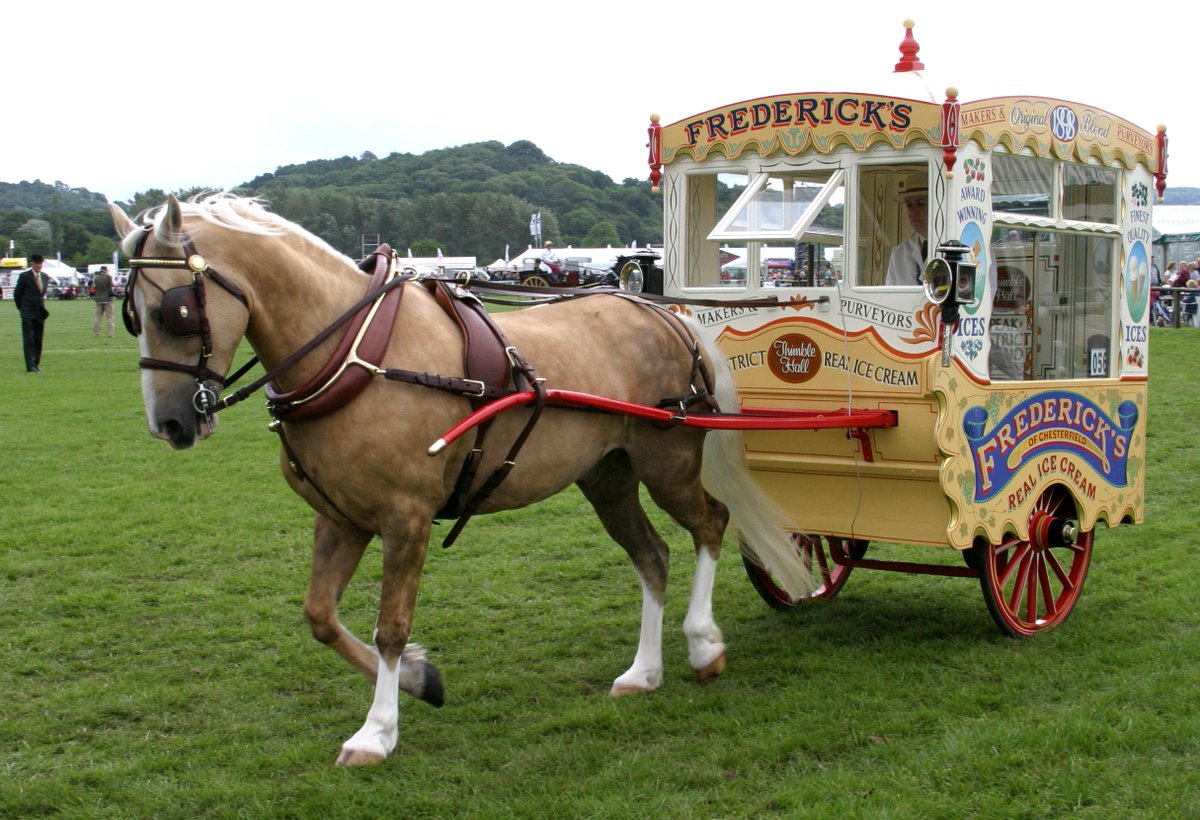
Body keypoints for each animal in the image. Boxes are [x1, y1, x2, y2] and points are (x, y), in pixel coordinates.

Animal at [110, 194, 811, 766]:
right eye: (130, 315)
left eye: (175, 310)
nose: (169, 422)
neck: (357, 357)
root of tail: (661, 311)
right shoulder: (340, 516)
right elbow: (319, 616)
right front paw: (422, 679)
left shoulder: (406, 517)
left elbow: (389, 627)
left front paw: (378, 731)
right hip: (606, 477)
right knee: (653, 555)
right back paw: (644, 671)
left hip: (667, 462)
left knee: (710, 526)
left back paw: (702, 646)